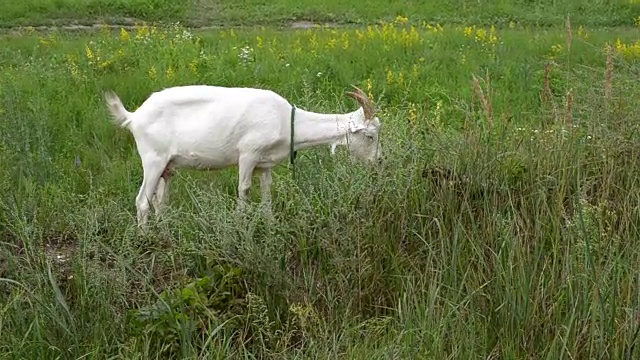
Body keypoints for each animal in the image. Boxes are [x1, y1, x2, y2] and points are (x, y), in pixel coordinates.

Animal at [103, 83, 382, 228]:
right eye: (370, 136)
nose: (378, 162)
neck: (286, 119)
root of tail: (134, 116)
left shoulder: (266, 163)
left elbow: (267, 192)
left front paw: (270, 224)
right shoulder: (248, 154)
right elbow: (244, 189)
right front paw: (240, 224)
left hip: (167, 166)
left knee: (160, 201)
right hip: (153, 158)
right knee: (142, 201)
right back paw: (144, 237)